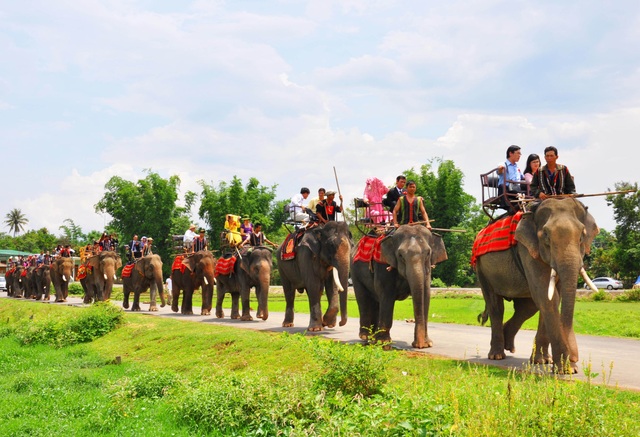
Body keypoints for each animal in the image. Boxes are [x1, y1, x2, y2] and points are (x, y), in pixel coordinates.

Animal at [476, 198, 600, 372]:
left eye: (582, 236)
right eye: (546, 236)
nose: (574, 358)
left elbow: (551, 298)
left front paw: (544, 362)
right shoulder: (527, 249)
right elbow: (546, 296)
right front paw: (564, 369)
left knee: (528, 307)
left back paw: (509, 344)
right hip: (482, 269)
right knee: (496, 306)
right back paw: (497, 355)